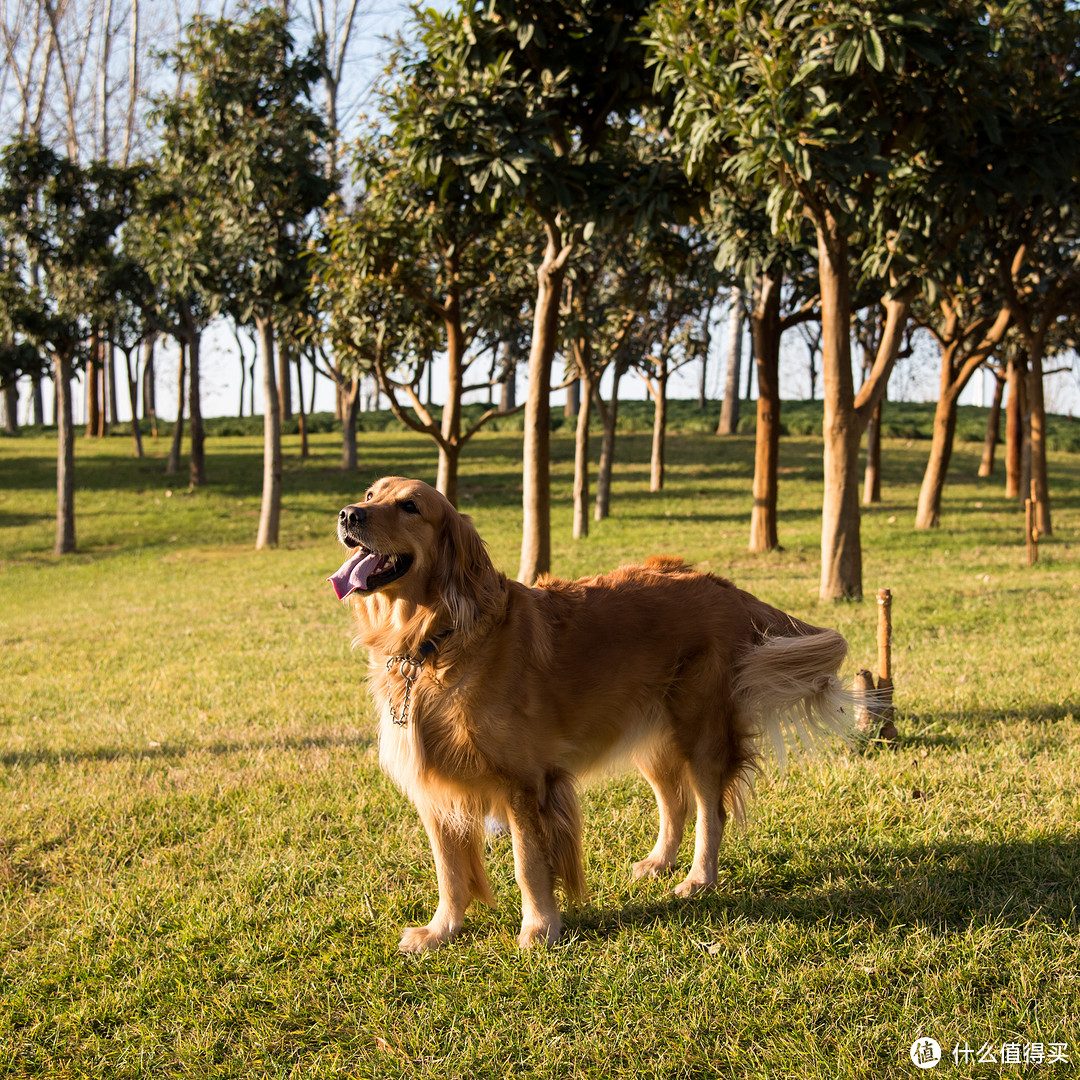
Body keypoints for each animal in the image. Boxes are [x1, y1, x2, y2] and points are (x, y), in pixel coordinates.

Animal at [328, 477, 851, 950]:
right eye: (372, 494)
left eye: (410, 506)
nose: (348, 514)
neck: (437, 639)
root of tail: (724, 585)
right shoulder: (435, 789)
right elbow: (450, 872)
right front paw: (441, 931)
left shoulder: (525, 784)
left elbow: (528, 862)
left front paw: (540, 928)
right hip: (651, 736)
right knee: (674, 802)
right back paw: (659, 862)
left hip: (700, 732)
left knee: (710, 810)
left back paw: (698, 880)